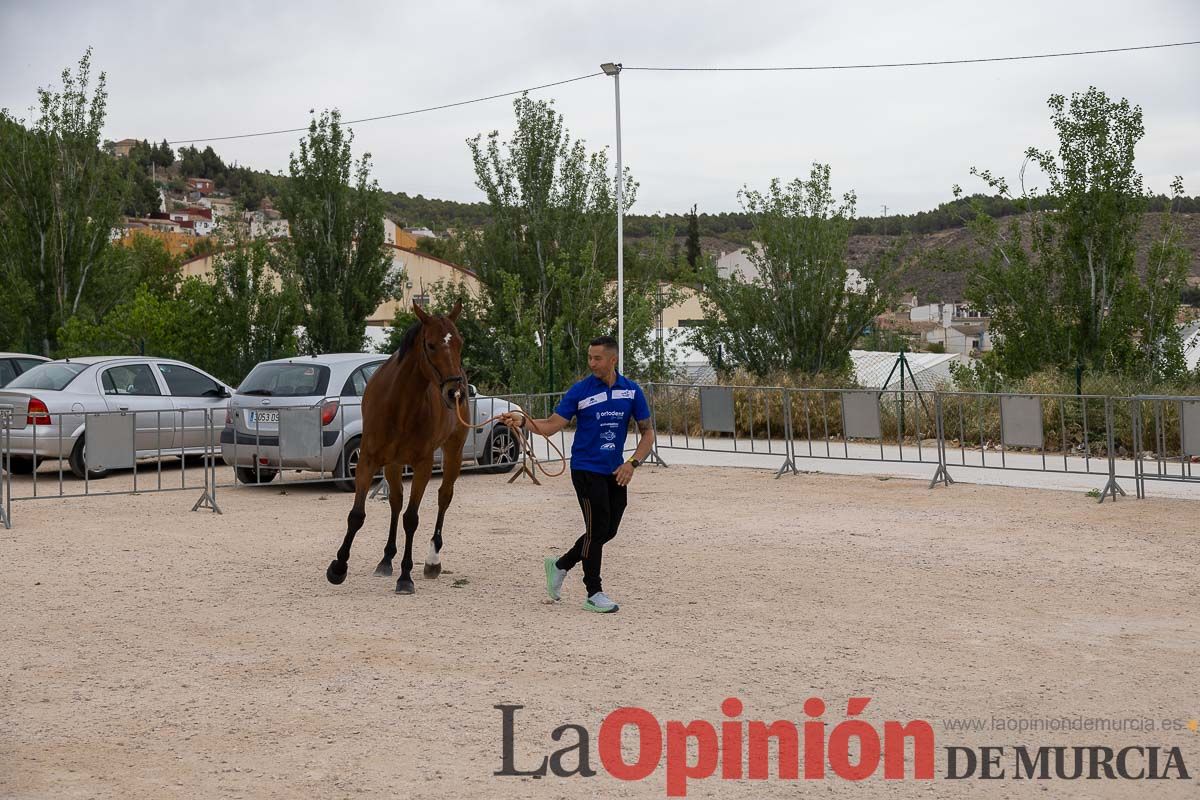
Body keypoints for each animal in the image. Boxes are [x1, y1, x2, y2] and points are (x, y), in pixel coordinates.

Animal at [326, 299, 470, 594]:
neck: (401, 402)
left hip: (454, 451)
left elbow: (411, 518)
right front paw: (338, 567)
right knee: (395, 500)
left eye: (460, 343)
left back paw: (432, 560)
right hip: (392, 464)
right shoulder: (368, 460)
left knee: (444, 496)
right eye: (431, 345)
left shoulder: (423, 464)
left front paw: (406, 576)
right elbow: (357, 515)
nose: (455, 392)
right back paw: (386, 559)